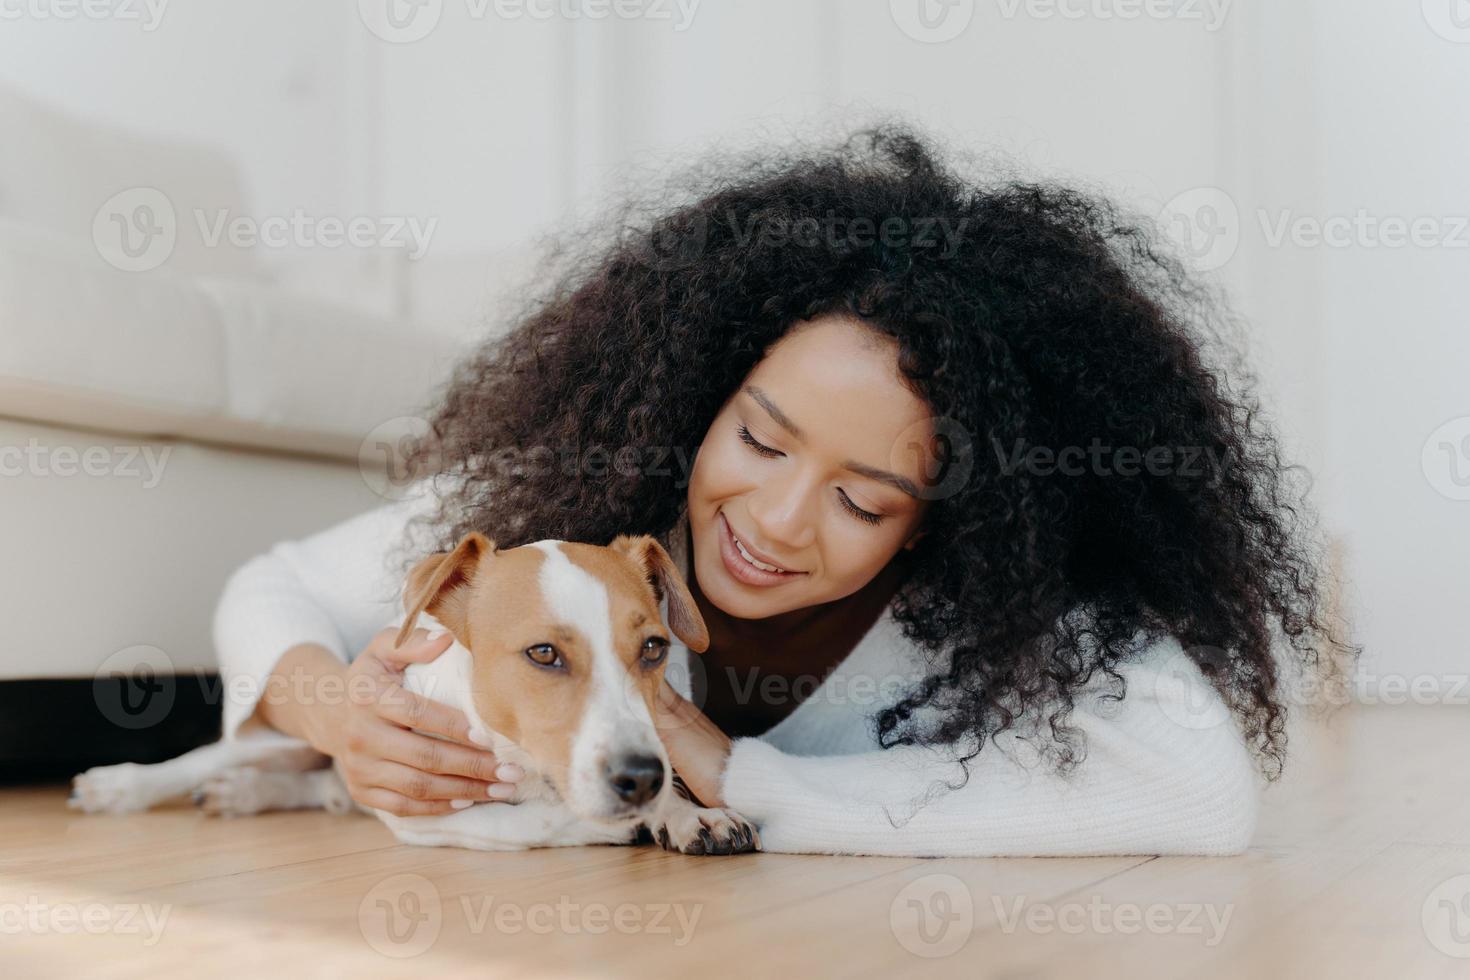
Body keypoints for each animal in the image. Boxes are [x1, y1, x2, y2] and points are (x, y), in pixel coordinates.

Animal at [69, 528, 758, 858]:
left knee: (317, 789)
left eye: (654, 649)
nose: (640, 778)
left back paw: (248, 794)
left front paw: (687, 811)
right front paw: (617, 824)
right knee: (200, 761)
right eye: (544, 654)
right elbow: (533, 823)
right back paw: (122, 785)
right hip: (278, 738)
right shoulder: (422, 810)